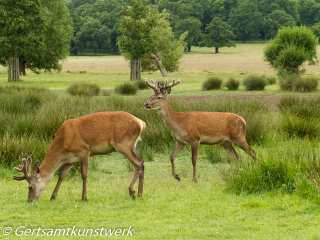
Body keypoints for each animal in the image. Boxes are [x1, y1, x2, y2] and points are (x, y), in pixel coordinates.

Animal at [13, 111, 146, 202]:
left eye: (30, 186)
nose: (30, 201)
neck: (63, 145)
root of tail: (142, 123)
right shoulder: (70, 160)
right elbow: (61, 175)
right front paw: (53, 196)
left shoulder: (84, 150)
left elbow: (84, 174)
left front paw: (84, 197)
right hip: (132, 145)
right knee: (142, 163)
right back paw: (140, 194)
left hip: (123, 144)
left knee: (138, 163)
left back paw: (132, 191)